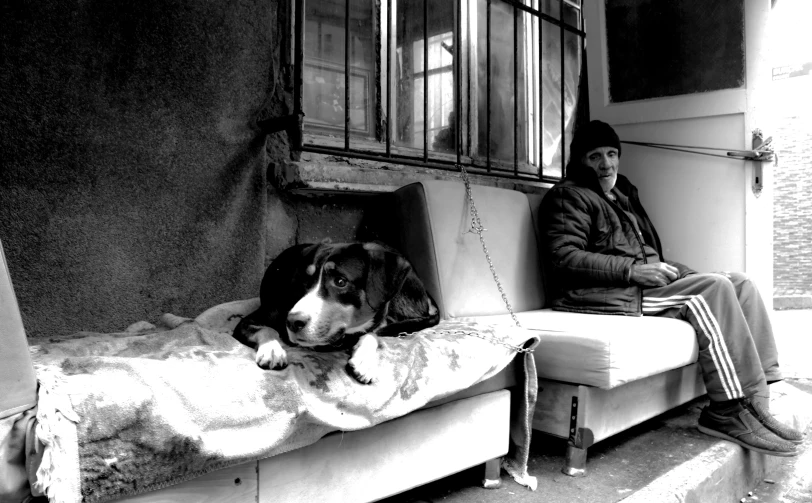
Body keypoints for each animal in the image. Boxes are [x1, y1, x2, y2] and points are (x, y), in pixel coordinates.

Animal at [232, 242, 440, 384]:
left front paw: (364, 360)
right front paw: (272, 349)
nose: (292, 322)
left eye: (340, 281)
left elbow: (371, 335)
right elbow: (267, 329)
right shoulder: (251, 320)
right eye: (305, 281)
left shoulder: (374, 323)